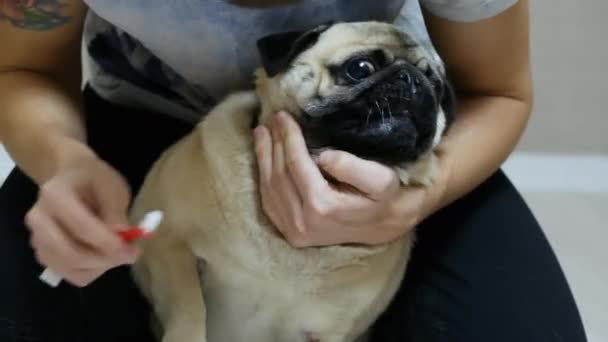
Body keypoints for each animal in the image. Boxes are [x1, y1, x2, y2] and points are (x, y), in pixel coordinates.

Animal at [129, 21, 456, 342]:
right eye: (360, 67)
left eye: (437, 88)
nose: (413, 80)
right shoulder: (169, 244)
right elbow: (189, 309)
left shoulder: (331, 332)